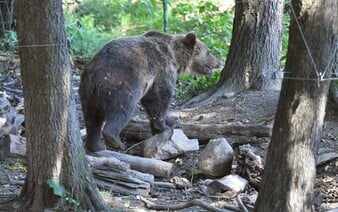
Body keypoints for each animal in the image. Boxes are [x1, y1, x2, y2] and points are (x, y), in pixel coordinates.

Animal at [80, 30, 220, 152]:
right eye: (208, 52)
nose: (218, 62)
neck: (175, 56)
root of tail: (94, 73)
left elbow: (151, 101)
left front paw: (172, 120)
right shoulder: (162, 69)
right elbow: (159, 98)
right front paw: (163, 127)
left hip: (87, 93)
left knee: (92, 120)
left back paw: (96, 145)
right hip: (120, 83)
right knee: (121, 110)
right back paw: (115, 141)